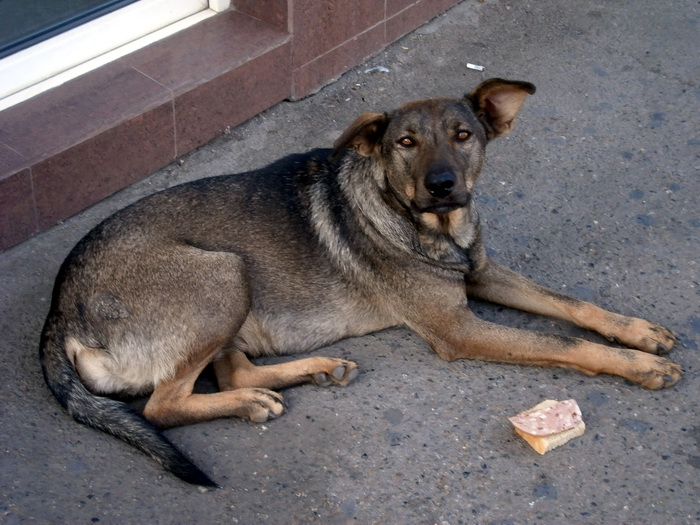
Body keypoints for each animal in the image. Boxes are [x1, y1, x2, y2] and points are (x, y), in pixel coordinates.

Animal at [39, 79, 684, 488]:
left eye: (464, 134)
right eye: (406, 142)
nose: (443, 185)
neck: (428, 226)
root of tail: (58, 310)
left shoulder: (479, 276)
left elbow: (573, 307)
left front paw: (639, 333)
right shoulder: (459, 328)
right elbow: (565, 342)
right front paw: (640, 367)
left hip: (230, 292)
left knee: (232, 371)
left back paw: (312, 372)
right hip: (221, 273)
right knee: (164, 405)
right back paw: (251, 402)